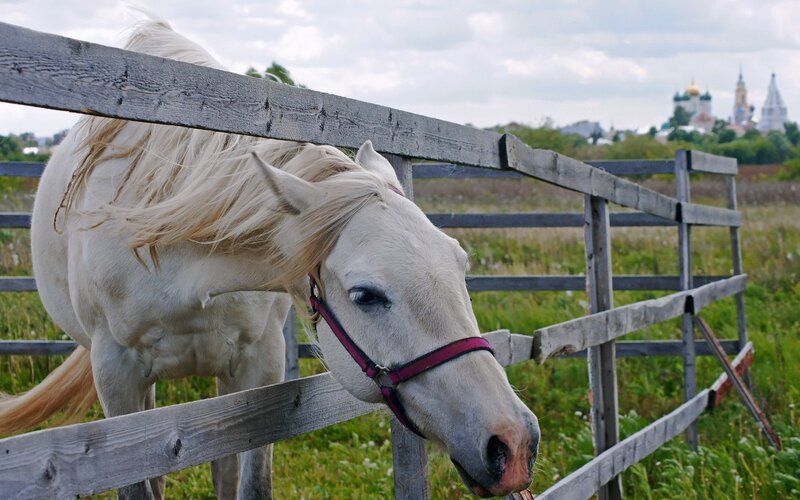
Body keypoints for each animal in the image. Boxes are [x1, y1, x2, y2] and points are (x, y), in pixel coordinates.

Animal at [0, 18, 539, 499]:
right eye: (366, 295)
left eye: (460, 267)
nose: (513, 444)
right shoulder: (117, 380)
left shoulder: (259, 364)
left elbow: (250, 482)